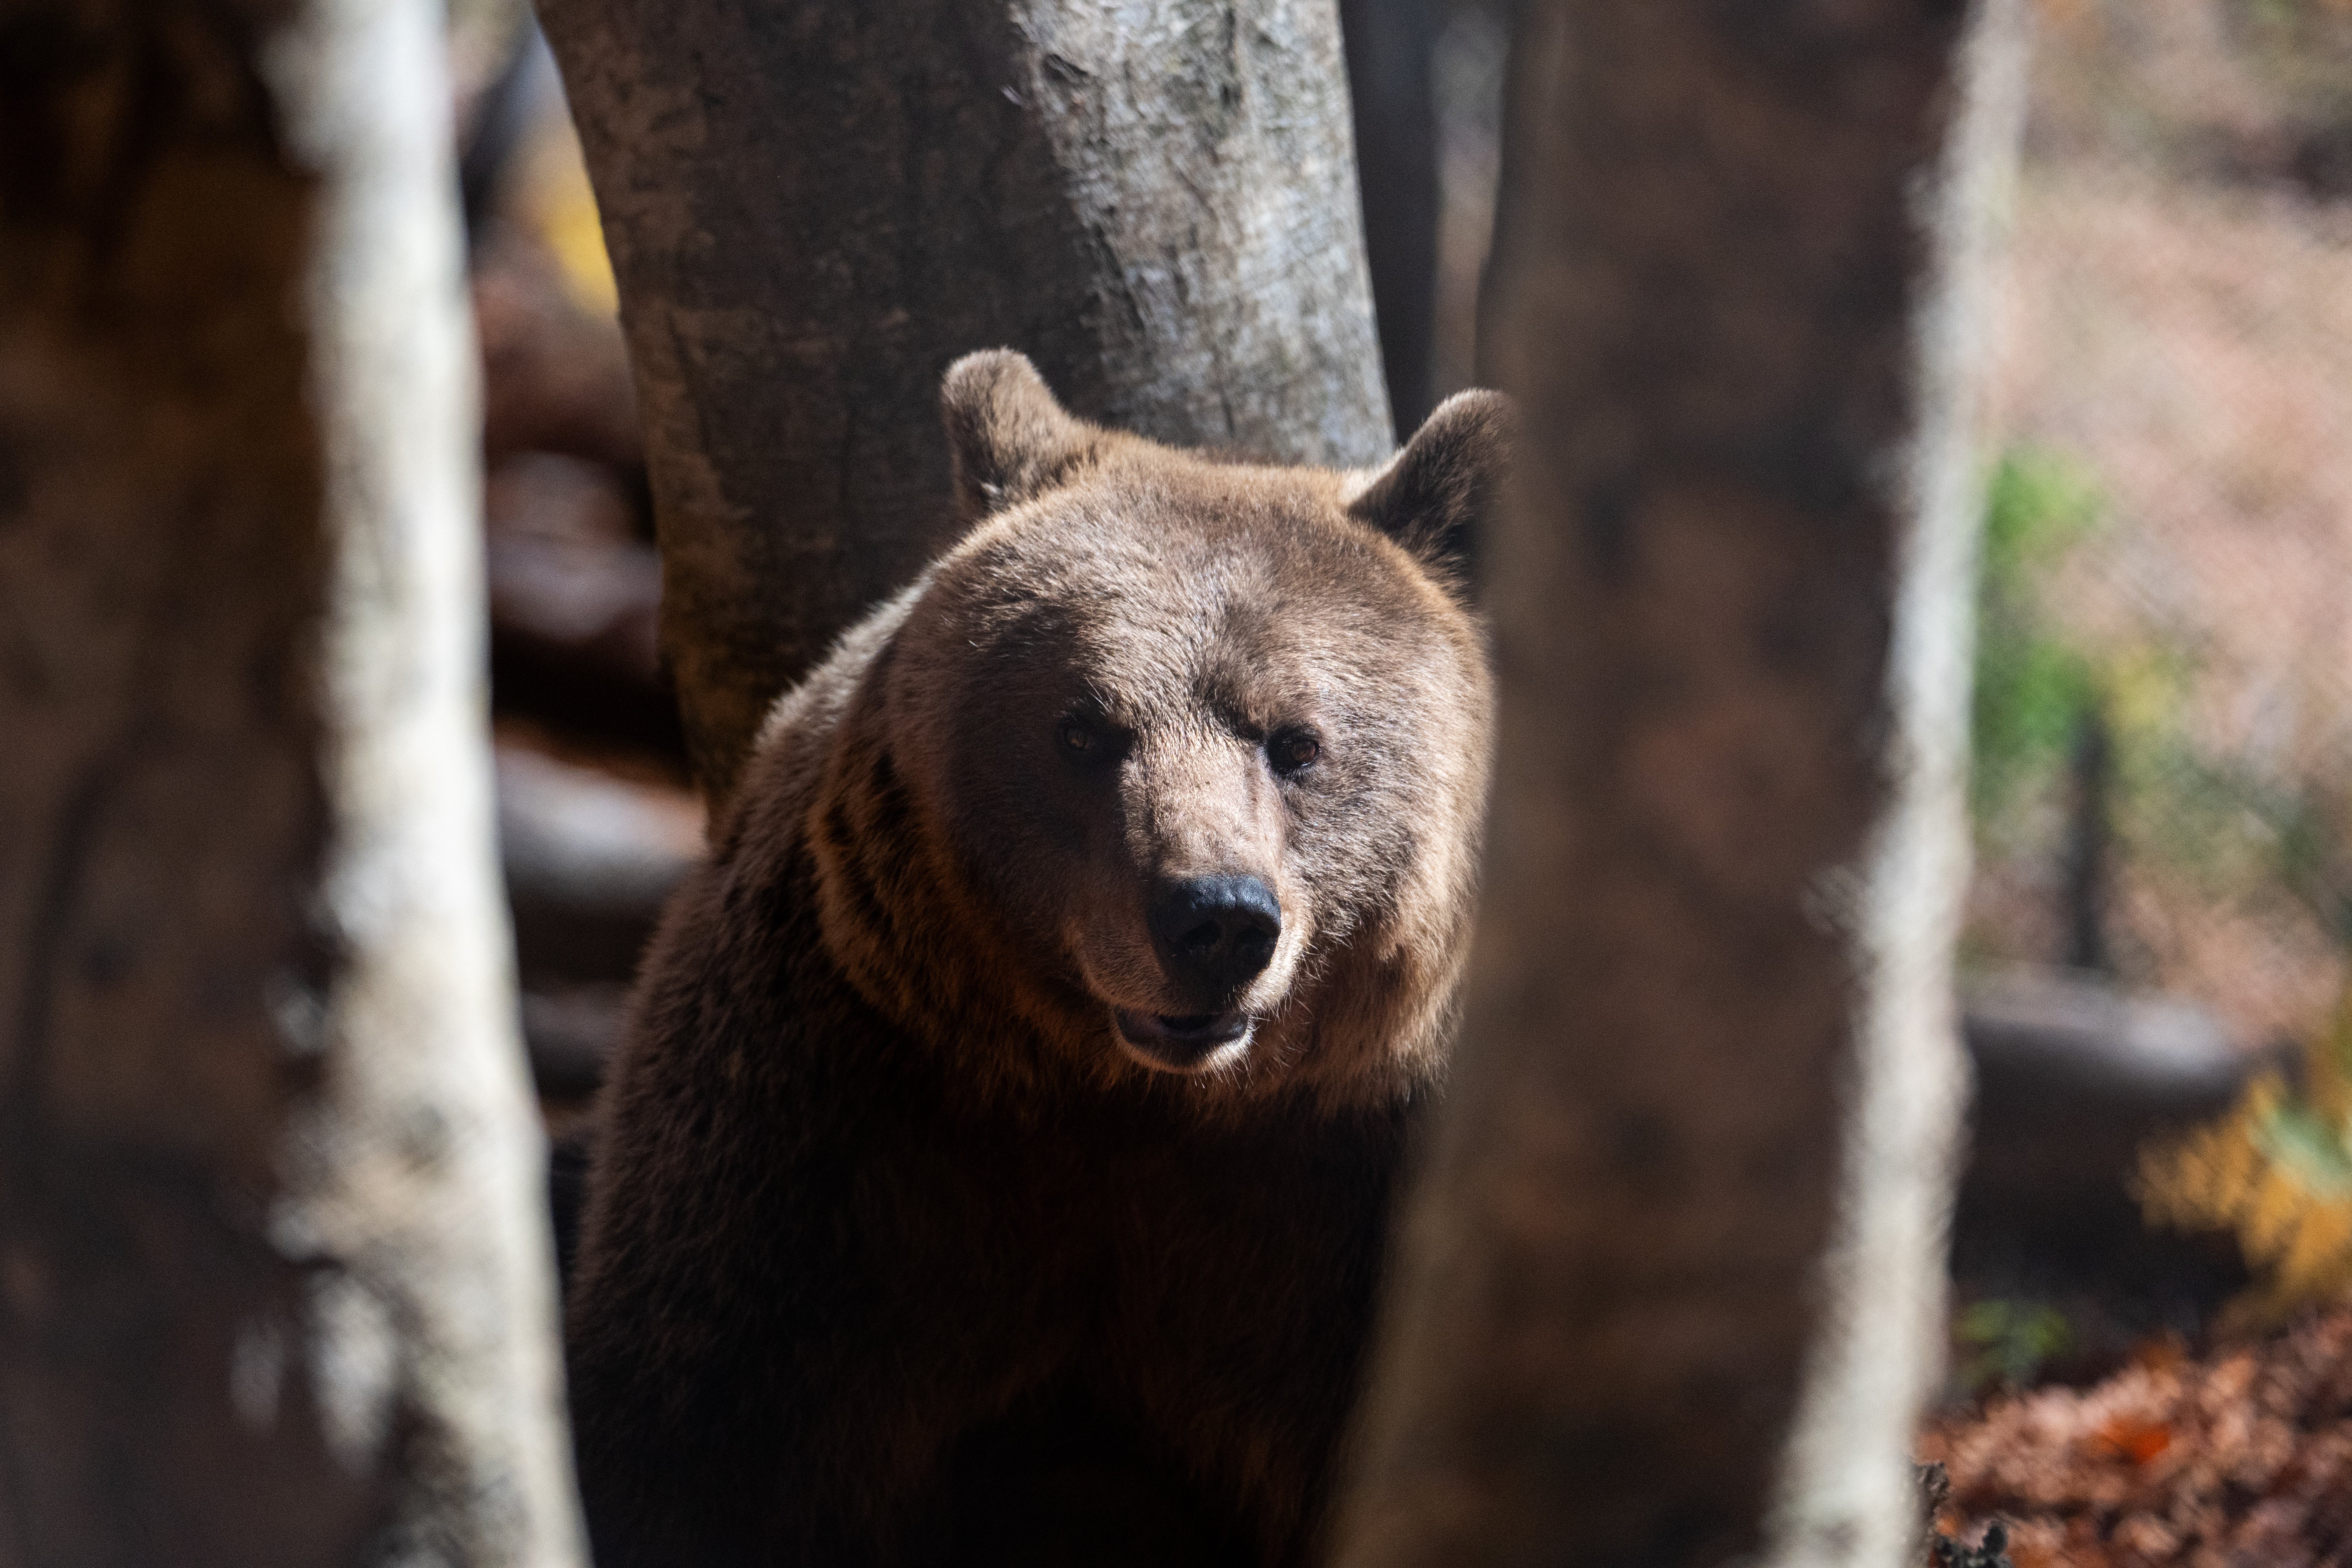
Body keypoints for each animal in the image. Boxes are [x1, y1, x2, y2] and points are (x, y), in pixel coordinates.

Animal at [565, 349, 1508, 1567]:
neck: (1135, 1101)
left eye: (1296, 741)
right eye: (1083, 729)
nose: (1215, 920)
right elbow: (698, 1429)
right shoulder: (829, 1144)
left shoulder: (1360, 1194)